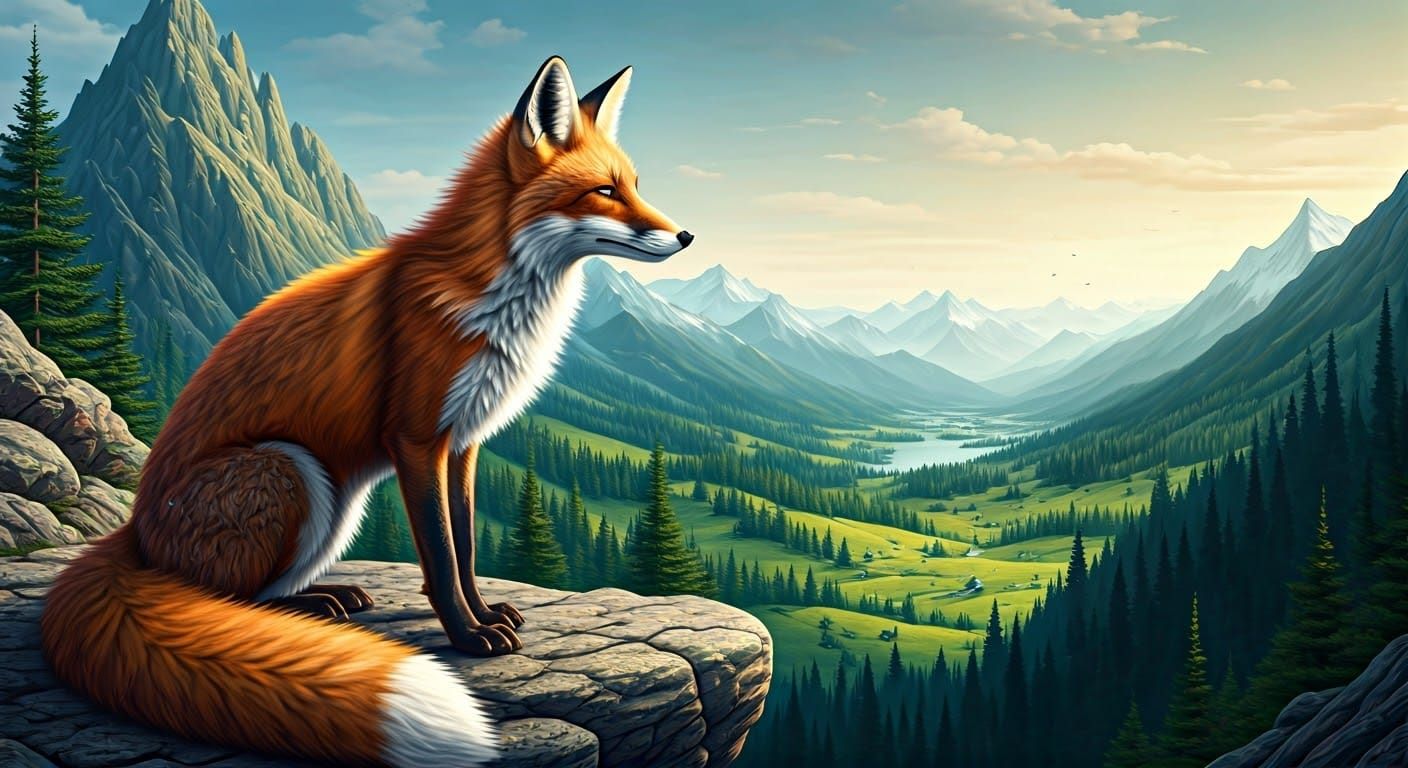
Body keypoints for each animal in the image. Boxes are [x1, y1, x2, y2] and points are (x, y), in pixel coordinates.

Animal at [39, 57, 691, 767]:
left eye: (634, 186)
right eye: (604, 191)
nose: (686, 234)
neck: (495, 302)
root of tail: (135, 531)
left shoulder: (464, 443)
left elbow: (466, 547)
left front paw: (486, 614)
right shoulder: (416, 438)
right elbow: (439, 555)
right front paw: (467, 637)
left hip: (335, 503)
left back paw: (326, 597)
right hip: (291, 470)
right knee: (220, 602)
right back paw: (302, 615)